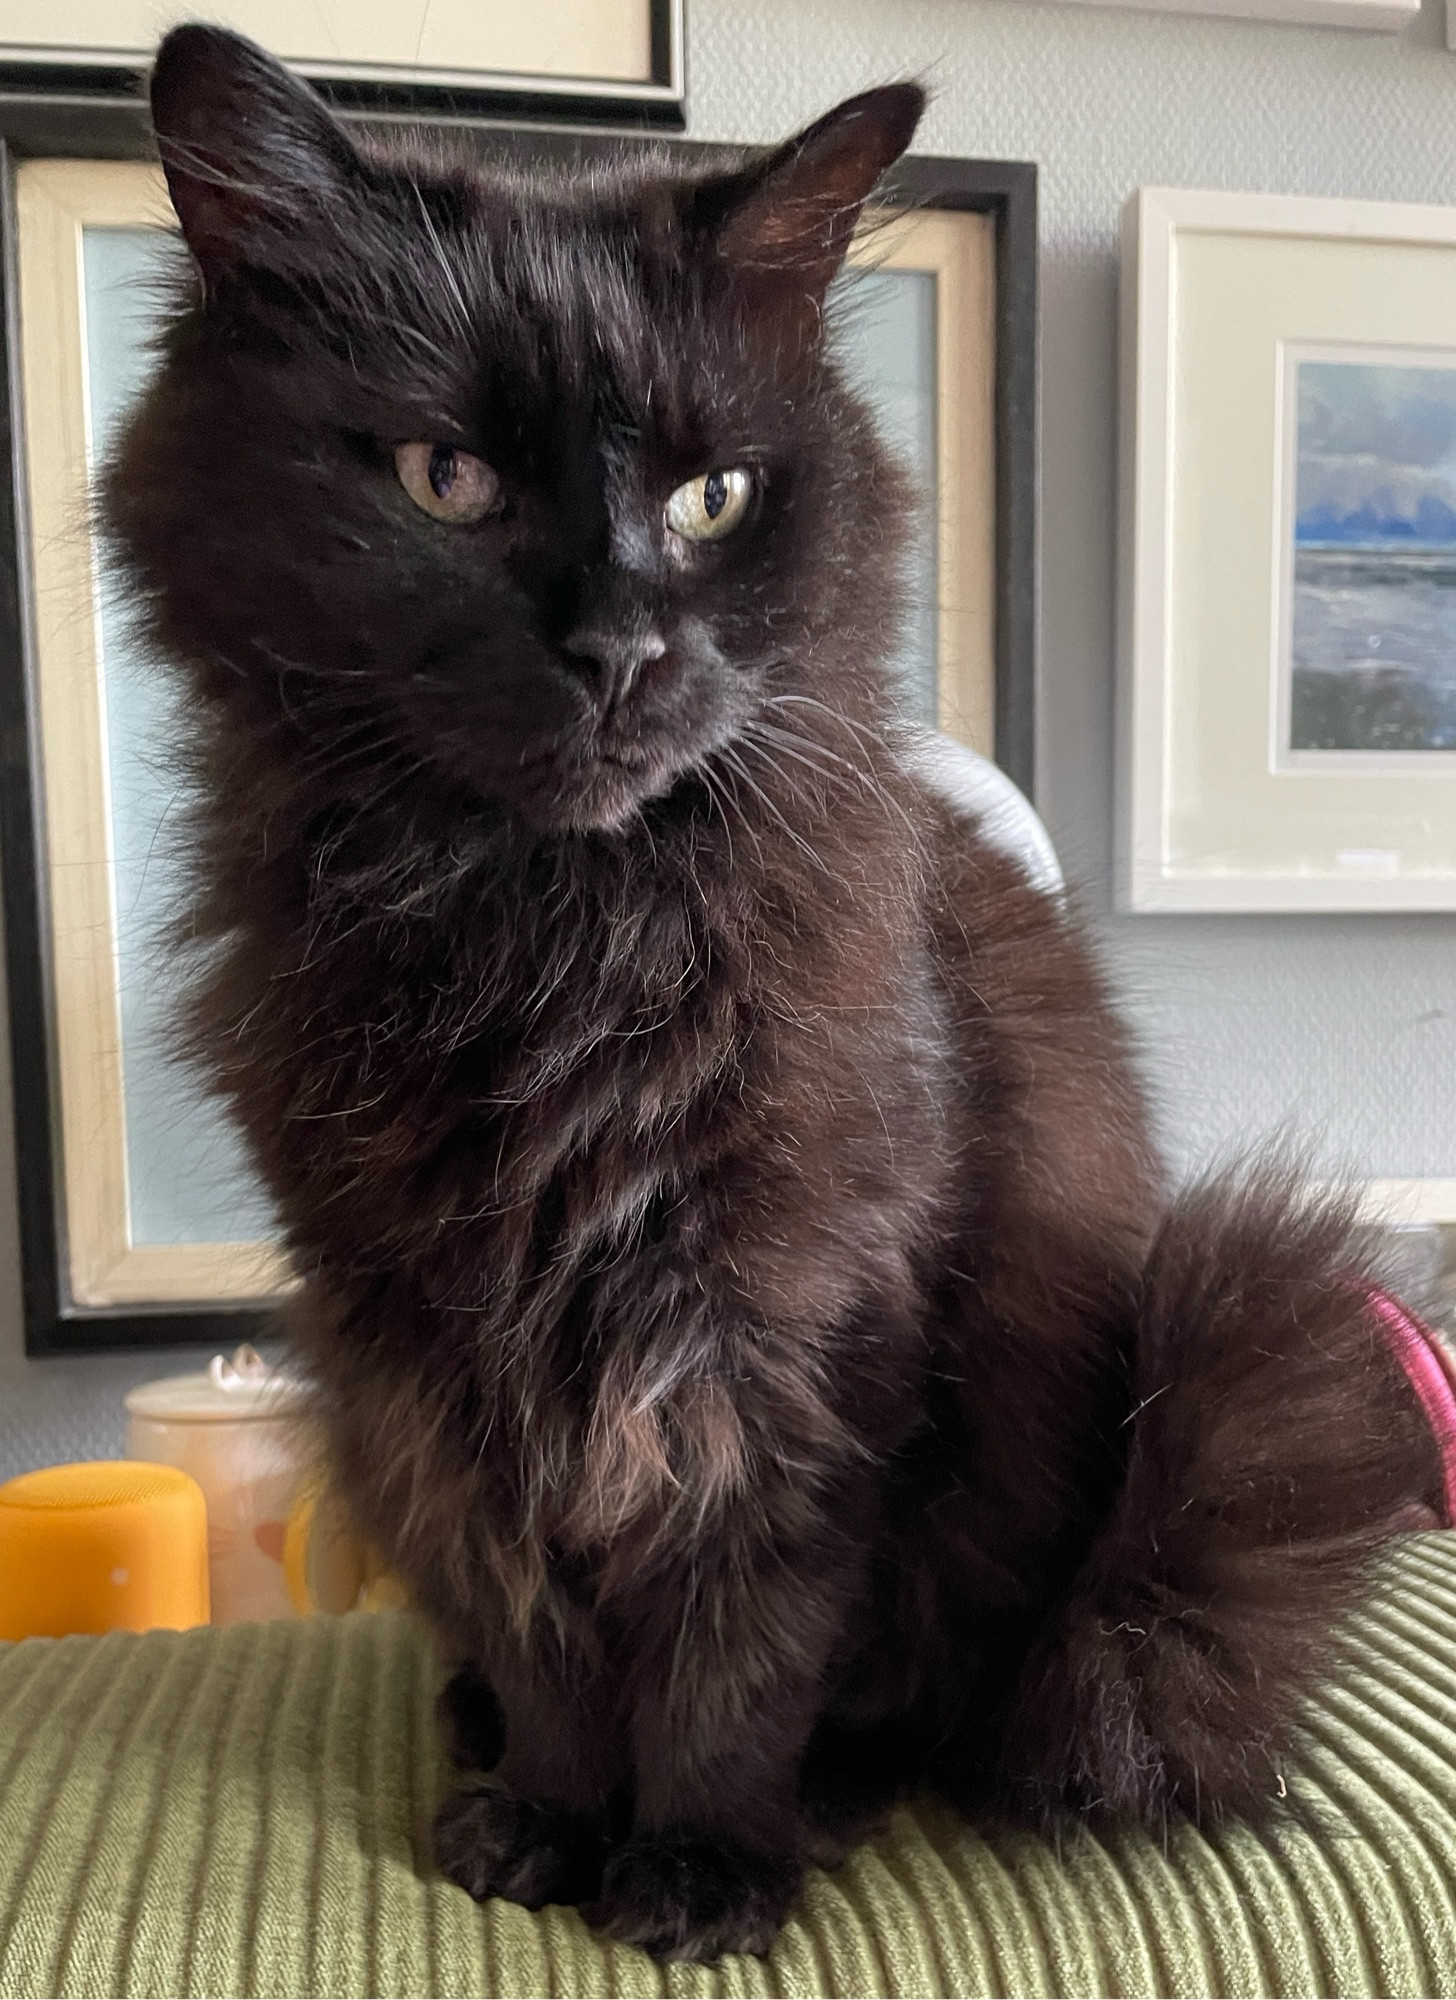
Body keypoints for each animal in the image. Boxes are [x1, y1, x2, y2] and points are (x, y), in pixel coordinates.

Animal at [105, 27, 1448, 1968]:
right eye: (444, 480)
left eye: (712, 498)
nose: (617, 649)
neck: (552, 939)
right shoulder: (447, 1362)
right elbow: (541, 1617)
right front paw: (552, 1820)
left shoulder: (791, 1325)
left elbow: (742, 1630)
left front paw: (700, 1857)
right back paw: (480, 1735)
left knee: (948, 1690)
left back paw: (831, 1790)